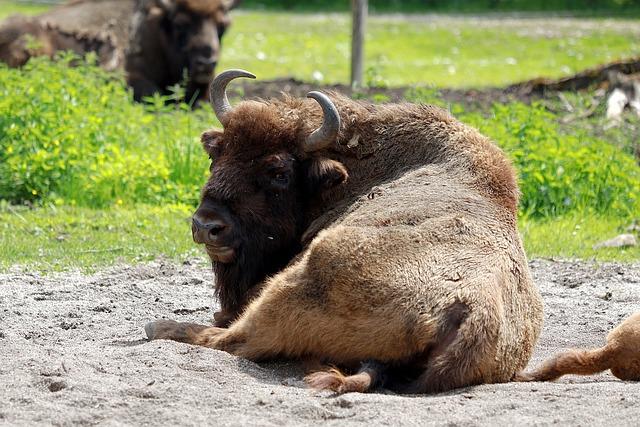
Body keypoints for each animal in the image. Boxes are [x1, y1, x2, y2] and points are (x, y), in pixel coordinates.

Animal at [145, 70, 640, 394]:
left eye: (278, 171)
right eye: (217, 153)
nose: (206, 225)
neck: (349, 170)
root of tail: (470, 315)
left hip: (299, 278)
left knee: (232, 339)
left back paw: (159, 325)